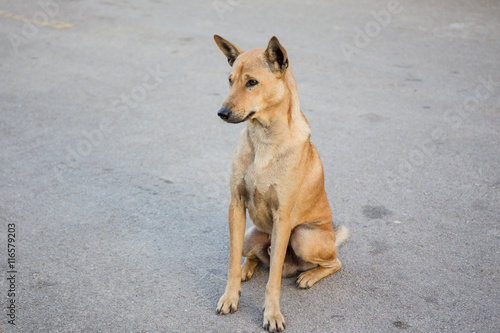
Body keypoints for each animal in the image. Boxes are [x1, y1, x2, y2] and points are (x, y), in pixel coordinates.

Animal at [213, 35, 350, 330]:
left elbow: (273, 278)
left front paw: (272, 313)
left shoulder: (283, 217)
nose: (222, 112)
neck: (264, 139)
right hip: (251, 235)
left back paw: (308, 276)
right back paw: (247, 268)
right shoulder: (235, 206)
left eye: (252, 82)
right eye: (230, 80)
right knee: (252, 256)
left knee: (334, 262)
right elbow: (231, 261)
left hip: (303, 236)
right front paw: (230, 296)